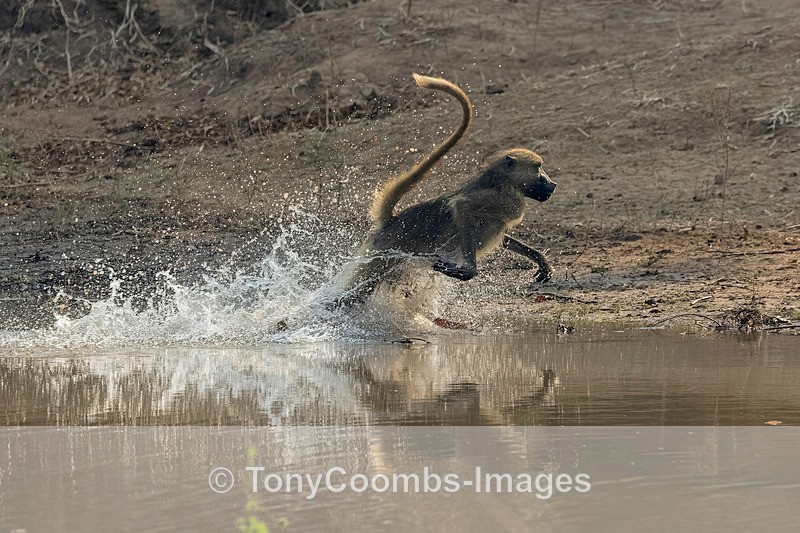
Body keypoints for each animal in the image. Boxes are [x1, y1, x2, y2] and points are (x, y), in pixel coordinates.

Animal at [334, 73, 557, 307]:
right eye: (538, 167)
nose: (552, 184)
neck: (502, 182)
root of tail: (392, 221)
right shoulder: (502, 200)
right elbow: (462, 206)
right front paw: (468, 269)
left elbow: (502, 235)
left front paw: (540, 260)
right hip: (385, 252)